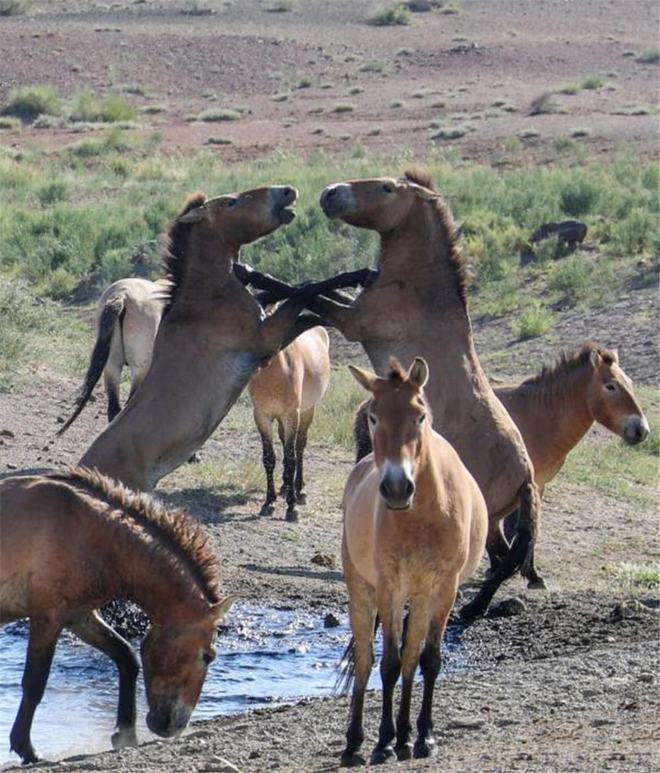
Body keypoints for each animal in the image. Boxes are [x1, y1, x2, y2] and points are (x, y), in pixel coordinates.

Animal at [0, 468, 233, 764]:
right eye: (208, 656)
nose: (173, 726)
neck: (87, 529)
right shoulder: (47, 617)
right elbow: (34, 683)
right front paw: (26, 749)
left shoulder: (79, 617)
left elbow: (127, 658)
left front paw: (125, 734)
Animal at [77, 185, 336, 488]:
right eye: (231, 203)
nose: (287, 191)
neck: (206, 299)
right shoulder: (267, 338)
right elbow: (306, 292)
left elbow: (297, 303)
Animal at [248, 322, 330, 520]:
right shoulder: (261, 416)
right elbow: (269, 458)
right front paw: (269, 501)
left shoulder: (292, 415)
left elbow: (291, 458)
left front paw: (291, 507)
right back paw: (285, 487)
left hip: (307, 411)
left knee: (299, 447)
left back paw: (299, 490)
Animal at [340, 358, 490, 764]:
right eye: (374, 416)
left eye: (419, 415)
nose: (396, 487)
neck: (424, 513)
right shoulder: (389, 586)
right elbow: (388, 663)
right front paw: (382, 743)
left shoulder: (443, 589)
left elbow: (427, 659)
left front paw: (422, 738)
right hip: (362, 588)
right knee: (365, 659)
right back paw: (354, 743)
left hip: (419, 597)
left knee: (410, 657)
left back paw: (406, 737)